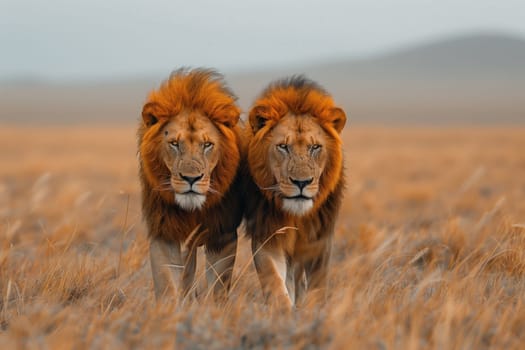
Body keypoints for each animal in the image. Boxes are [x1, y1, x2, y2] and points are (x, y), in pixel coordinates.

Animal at [135, 68, 242, 300]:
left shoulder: (222, 234)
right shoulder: (164, 232)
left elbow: (218, 286)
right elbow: (167, 285)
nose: (191, 178)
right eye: (174, 143)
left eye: (207, 144)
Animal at [244, 76, 346, 308]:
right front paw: (283, 311)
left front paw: (314, 310)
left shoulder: (320, 241)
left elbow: (318, 286)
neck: (296, 214)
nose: (302, 182)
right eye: (283, 146)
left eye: (315, 147)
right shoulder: (268, 235)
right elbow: (273, 280)